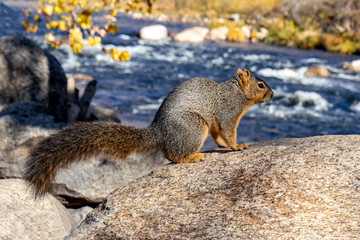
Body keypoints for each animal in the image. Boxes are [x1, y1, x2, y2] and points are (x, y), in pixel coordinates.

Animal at [24, 68, 272, 197]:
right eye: (261, 85)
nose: (273, 94)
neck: (237, 92)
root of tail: (159, 132)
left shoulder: (220, 122)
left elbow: (220, 135)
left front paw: (226, 146)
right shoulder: (228, 111)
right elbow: (228, 131)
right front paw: (238, 146)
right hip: (193, 127)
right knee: (173, 155)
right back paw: (192, 157)